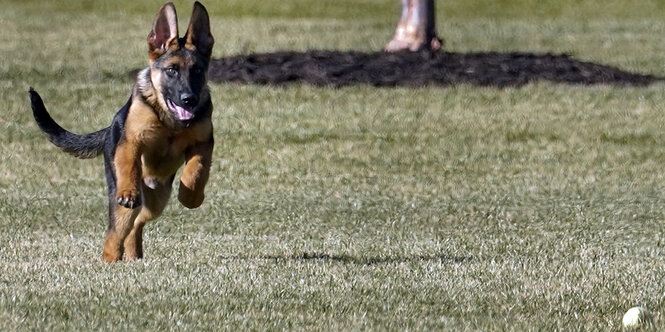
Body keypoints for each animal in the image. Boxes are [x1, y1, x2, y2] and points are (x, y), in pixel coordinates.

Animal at [28, 1, 214, 262]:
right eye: (172, 71)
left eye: (197, 71)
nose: (189, 100)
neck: (170, 122)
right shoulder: (131, 141)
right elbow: (129, 165)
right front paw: (128, 190)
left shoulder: (203, 142)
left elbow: (197, 169)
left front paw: (191, 196)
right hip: (125, 201)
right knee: (116, 231)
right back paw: (111, 259)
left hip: (157, 199)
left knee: (137, 223)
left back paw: (133, 254)